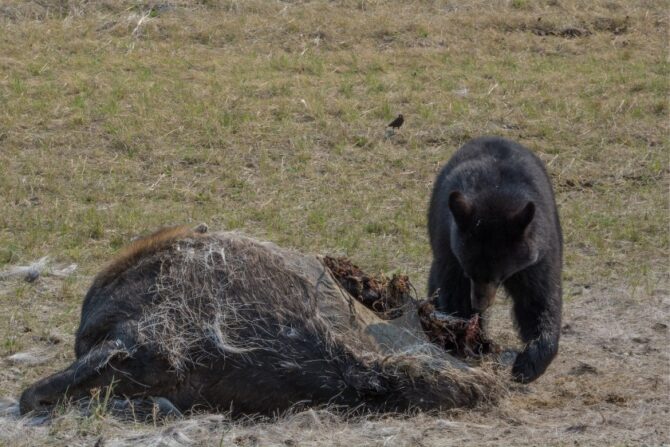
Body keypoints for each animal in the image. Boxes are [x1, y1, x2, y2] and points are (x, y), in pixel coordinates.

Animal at [428, 135, 564, 384]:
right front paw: (469, 339)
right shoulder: (450, 248)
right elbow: (454, 293)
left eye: (497, 276)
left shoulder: (539, 252)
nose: (479, 303)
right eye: (469, 272)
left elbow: (539, 299)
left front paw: (528, 364)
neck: (496, 195)